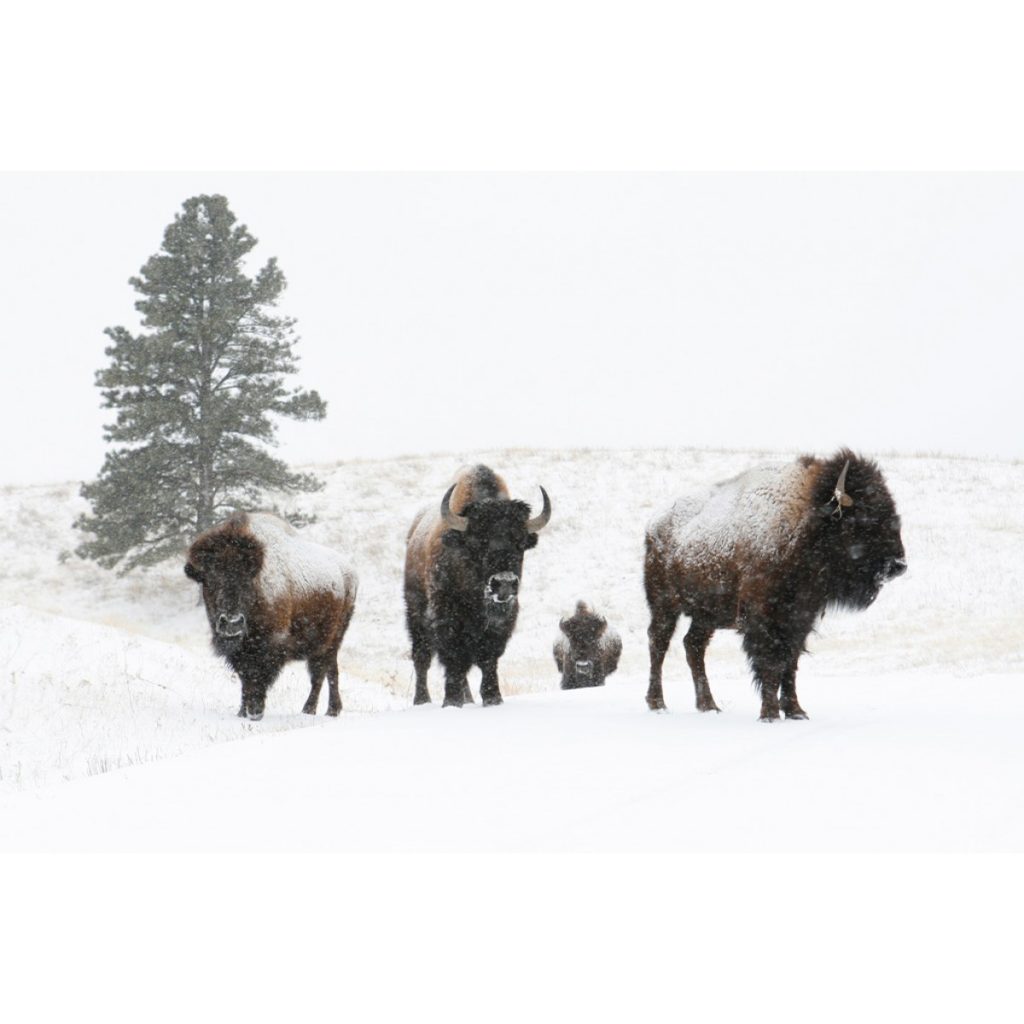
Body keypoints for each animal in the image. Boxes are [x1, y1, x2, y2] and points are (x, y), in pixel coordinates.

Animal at [186, 512, 358, 720]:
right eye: (209, 581)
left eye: (247, 580)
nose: (232, 623)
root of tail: (350, 572)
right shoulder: (240, 650)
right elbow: (245, 679)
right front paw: (242, 712)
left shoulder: (270, 645)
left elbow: (258, 677)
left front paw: (255, 711)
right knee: (329, 670)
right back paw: (329, 710)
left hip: (331, 639)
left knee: (321, 673)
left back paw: (312, 710)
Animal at [405, 464, 552, 704]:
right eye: (479, 542)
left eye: (520, 543)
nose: (504, 583)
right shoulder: (446, 617)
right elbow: (453, 659)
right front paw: (451, 701)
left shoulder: (502, 621)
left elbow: (488, 658)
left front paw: (493, 698)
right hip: (414, 614)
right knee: (422, 658)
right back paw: (422, 700)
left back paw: (469, 699)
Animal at [643, 452, 909, 724]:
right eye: (865, 516)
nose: (898, 565)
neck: (806, 520)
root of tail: (654, 525)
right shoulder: (763, 619)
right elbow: (770, 664)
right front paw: (769, 714)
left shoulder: (800, 619)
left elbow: (790, 664)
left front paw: (796, 712)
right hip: (665, 606)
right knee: (658, 643)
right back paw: (658, 703)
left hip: (706, 615)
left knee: (693, 646)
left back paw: (708, 705)